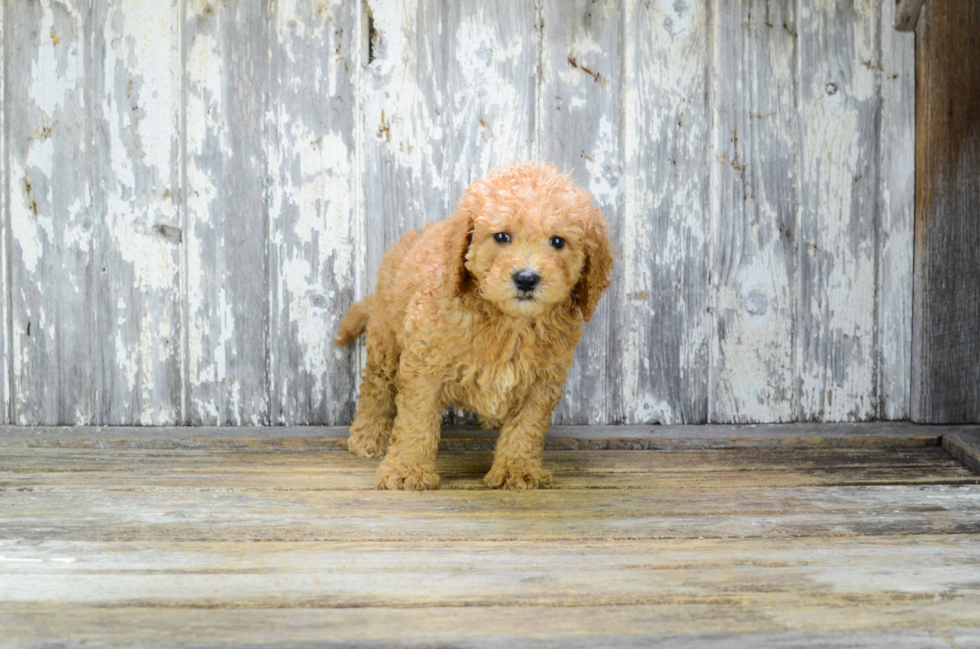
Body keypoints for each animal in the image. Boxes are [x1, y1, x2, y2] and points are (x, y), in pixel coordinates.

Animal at [336, 165, 612, 488]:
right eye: (501, 236)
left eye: (558, 241)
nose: (526, 278)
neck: (508, 321)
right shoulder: (424, 364)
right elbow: (416, 420)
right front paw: (406, 470)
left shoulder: (543, 379)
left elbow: (526, 426)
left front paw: (516, 469)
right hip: (386, 333)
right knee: (376, 383)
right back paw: (369, 433)